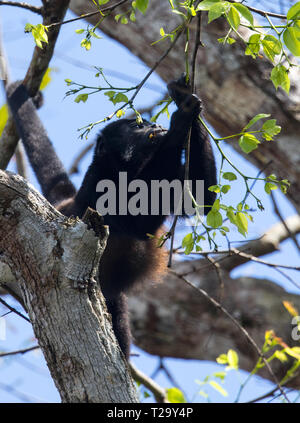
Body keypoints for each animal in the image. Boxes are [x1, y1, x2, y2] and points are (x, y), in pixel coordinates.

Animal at [6, 75, 216, 358]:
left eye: (146, 122)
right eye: (136, 125)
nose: (154, 124)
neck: (126, 169)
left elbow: (202, 200)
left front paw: (182, 97)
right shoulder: (97, 181)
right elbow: (135, 222)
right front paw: (180, 120)